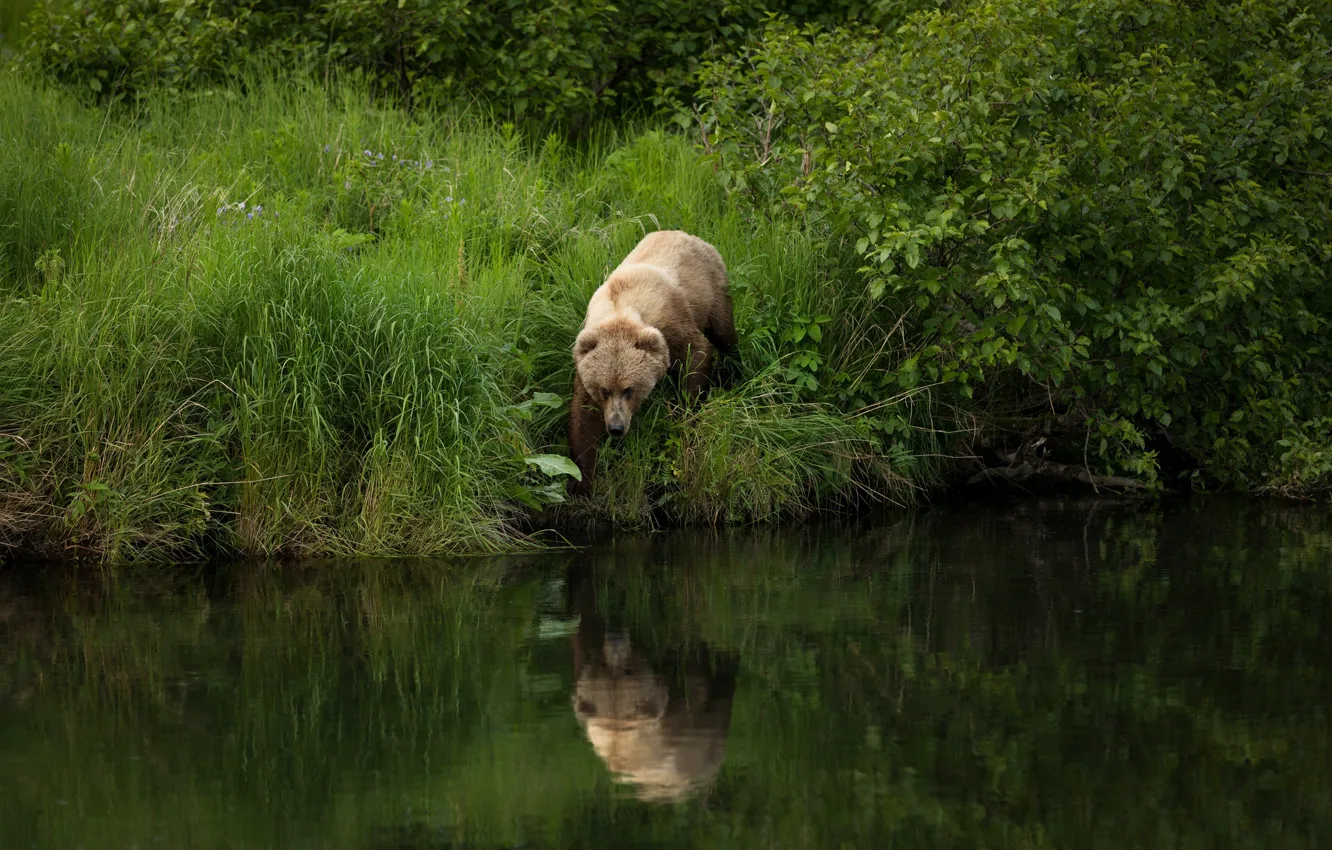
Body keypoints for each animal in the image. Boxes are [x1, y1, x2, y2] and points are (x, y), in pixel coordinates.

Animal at [567, 229, 740, 495]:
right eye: (604, 390)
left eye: (629, 389)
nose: (616, 427)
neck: (622, 311)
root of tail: (688, 234)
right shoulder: (587, 353)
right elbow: (583, 417)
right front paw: (581, 480)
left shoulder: (671, 324)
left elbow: (697, 354)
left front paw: (685, 412)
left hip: (713, 287)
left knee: (725, 333)